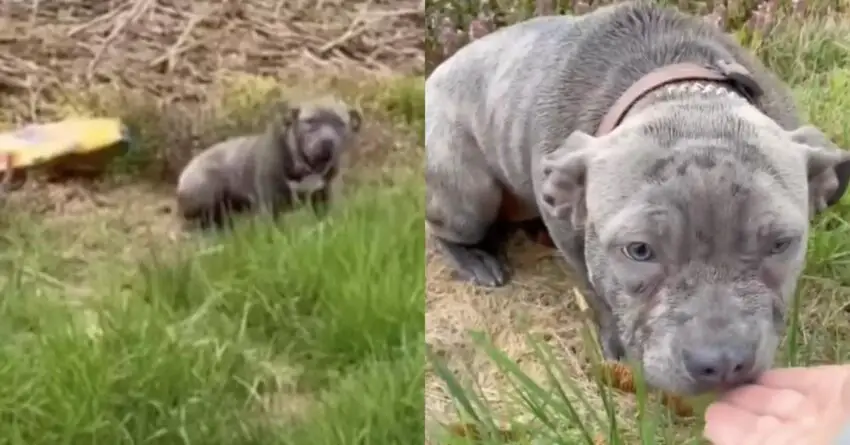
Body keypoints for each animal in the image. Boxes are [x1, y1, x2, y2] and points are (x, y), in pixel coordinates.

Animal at [176, 97, 362, 229]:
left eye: (340, 123)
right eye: (310, 121)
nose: (327, 141)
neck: (307, 165)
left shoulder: (323, 198)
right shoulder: (272, 206)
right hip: (207, 190)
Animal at [428, 0, 848, 396]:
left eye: (780, 243)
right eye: (639, 251)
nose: (723, 364)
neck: (679, 90)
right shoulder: (577, 245)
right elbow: (595, 289)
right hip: (469, 192)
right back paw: (476, 260)